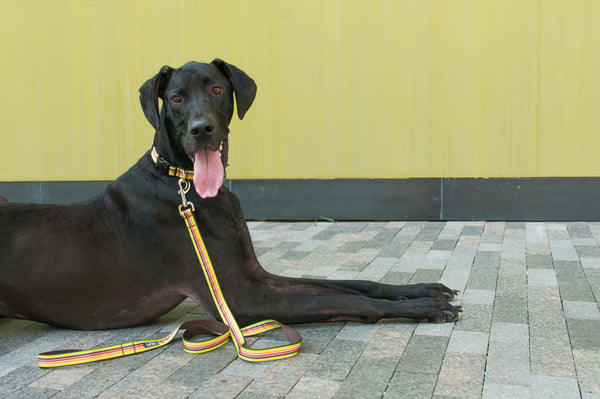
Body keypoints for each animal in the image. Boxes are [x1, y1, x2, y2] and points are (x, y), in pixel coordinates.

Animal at [0, 60, 460, 334]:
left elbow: (355, 285)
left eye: (218, 90)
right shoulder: (238, 298)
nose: (202, 129)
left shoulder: (255, 275)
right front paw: (422, 308)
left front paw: (421, 290)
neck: (184, 184)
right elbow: (338, 298)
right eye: (176, 98)